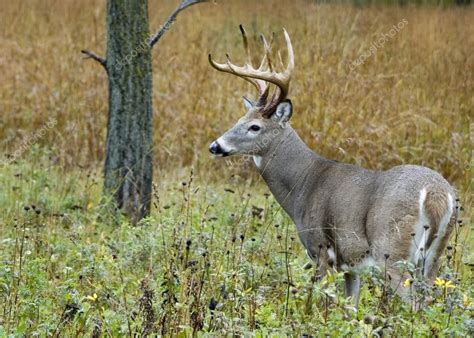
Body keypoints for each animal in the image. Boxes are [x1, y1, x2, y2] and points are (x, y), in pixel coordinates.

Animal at [207, 24, 456, 304]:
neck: (303, 184)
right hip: (433, 257)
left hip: (392, 252)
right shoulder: (351, 266)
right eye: (239, 119)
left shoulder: (321, 249)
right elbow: (351, 307)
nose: (215, 146)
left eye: (254, 127)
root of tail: (436, 194)